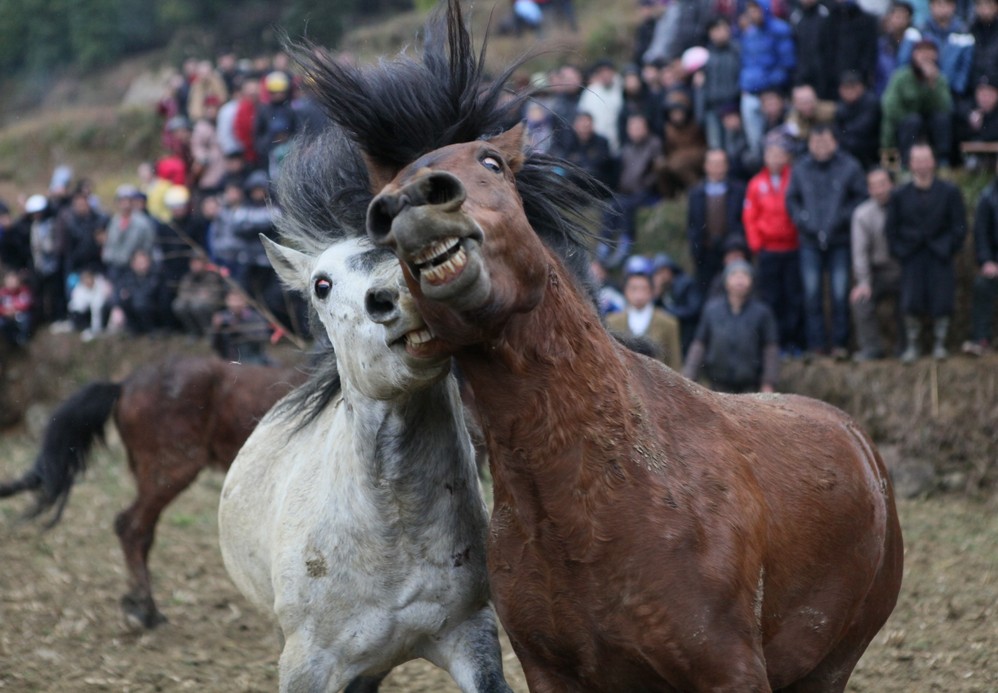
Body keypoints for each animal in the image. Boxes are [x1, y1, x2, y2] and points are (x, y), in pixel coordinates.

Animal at [298, 2, 908, 688]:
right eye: (382, 206)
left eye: (492, 162)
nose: (413, 202)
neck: (589, 500)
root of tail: (857, 438)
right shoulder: (551, 671)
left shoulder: (730, 669)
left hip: (832, 664)